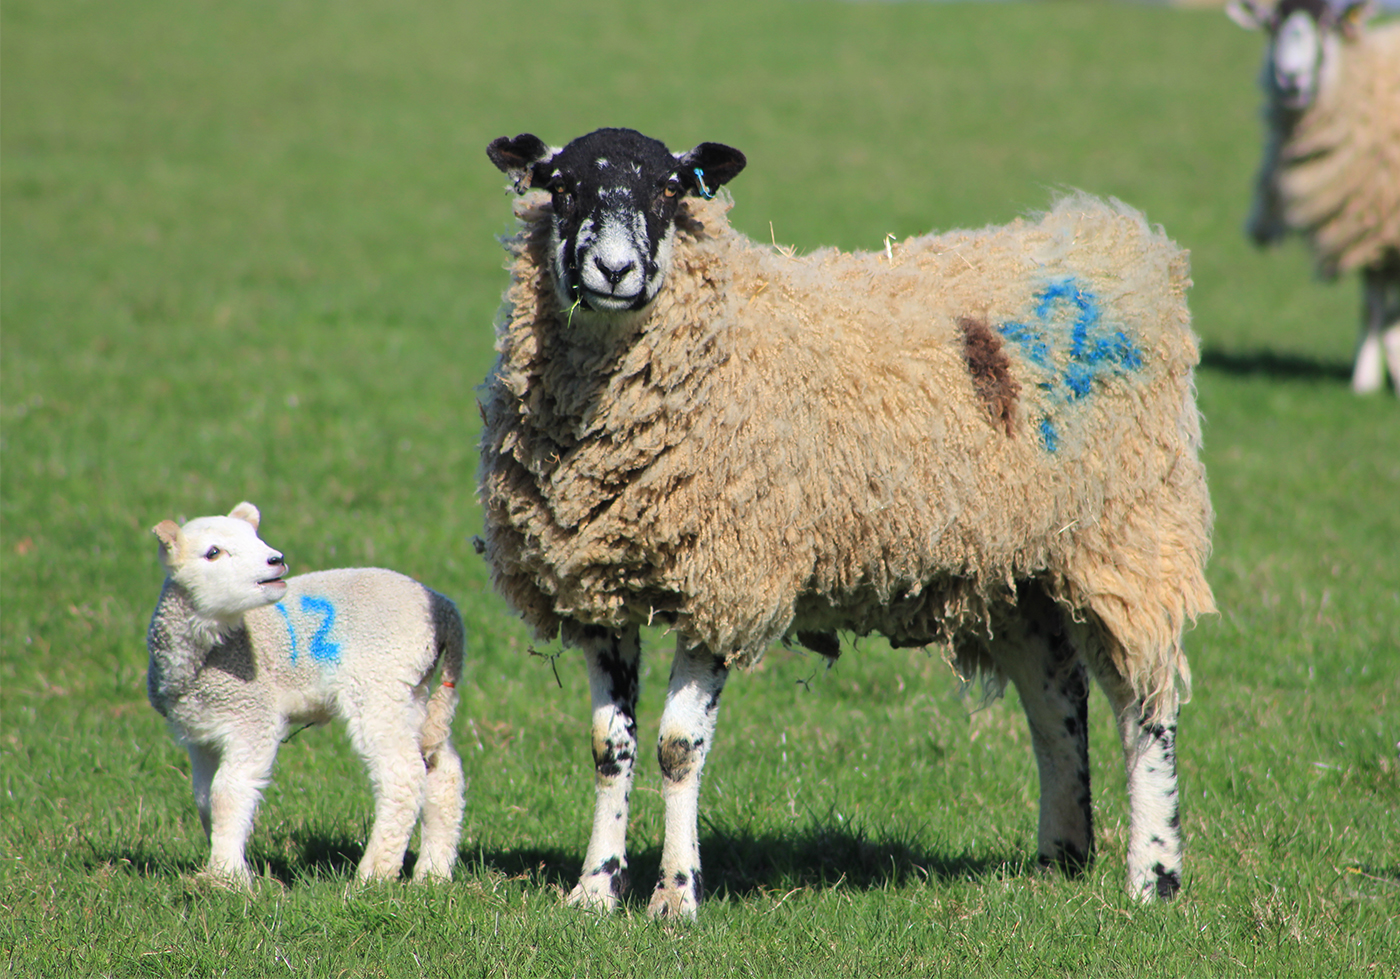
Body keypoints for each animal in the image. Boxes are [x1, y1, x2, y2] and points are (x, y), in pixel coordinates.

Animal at [146, 502, 465, 889]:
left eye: (257, 538)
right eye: (213, 553)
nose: (276, 559)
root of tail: (444, 610)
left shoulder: (253, 715)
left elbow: (228, 793)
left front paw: (227, 876)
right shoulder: (201, 733)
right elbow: (205, 798)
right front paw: (224, 864)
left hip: (379, 684)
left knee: (402, 774)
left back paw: (374, 873)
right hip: (413, 690)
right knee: (442, 770)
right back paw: (433, 872)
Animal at [479, 127, 1215, 918]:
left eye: (671, 189)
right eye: (560, 185)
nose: (614, 269)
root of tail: (1114, 240)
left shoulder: (727, 582)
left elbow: (678, 748)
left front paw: (675, 897)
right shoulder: (599, 588)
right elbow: (608, 749)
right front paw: (594, 890)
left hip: (1128, 537)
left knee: (1145, 710)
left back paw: (1154, 875)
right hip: (1017, 568)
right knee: (1057, 699)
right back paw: (1062, 856)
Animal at [1228, 0, 1400, 394]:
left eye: (1326, 26)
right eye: (1271, 24)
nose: (1291, 79)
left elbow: (1388, 313)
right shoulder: (1367, 227)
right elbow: (1373, 307)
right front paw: (1365, 382)